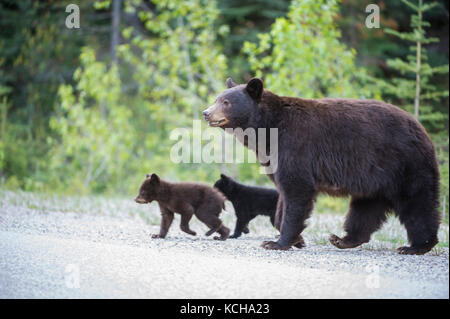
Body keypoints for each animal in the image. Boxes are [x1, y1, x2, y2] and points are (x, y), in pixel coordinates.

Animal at [202, 77, 442, 255]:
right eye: (217, 98)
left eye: (226, 102)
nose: (206, 113)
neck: (267, 128)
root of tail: (422, 129)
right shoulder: (272, 156)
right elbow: (283, 196)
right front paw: (295, 239)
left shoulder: (295, 147)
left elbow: (297, 190)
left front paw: (278, 242)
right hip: (376, 177)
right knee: (366, 207)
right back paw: (343, 239)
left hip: (406, 164)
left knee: (417, 202)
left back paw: (417, 246)